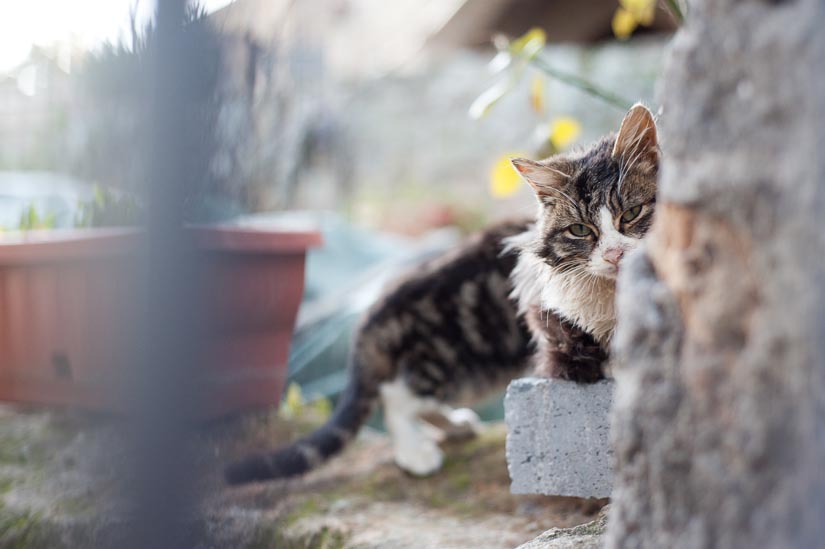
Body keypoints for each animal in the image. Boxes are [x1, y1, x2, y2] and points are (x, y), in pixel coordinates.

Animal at [224, 103, 656, 484]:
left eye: (632, 214)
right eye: (581, 230)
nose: (615, 254)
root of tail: (379, 305)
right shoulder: (547, 316)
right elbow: (587, 353)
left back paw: (454, 425)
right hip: (462, 355)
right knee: (397, 393)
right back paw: (416, 452)